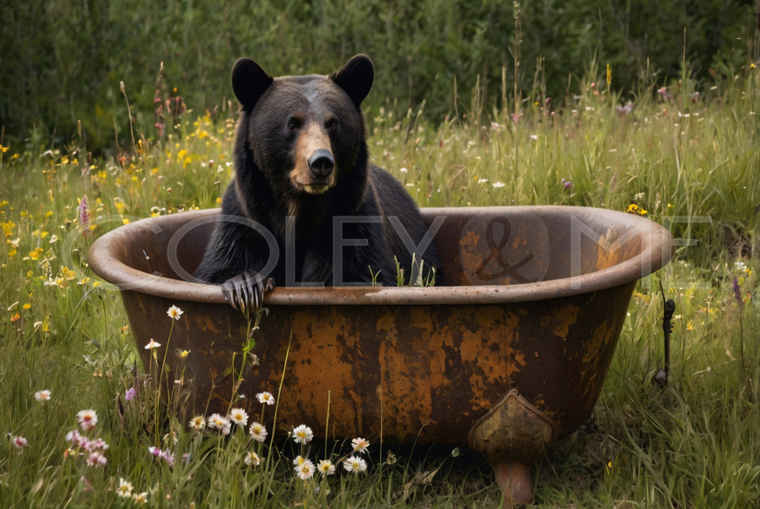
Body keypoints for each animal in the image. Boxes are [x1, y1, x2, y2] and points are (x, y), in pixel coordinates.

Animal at [195, 54, 441, 312]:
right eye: (292, 123)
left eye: (333, 123)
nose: (321, 162)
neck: (301, 206)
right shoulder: (246, 220)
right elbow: (222, 264)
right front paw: (246, 285)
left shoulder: (354, 221)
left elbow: (363, 271)